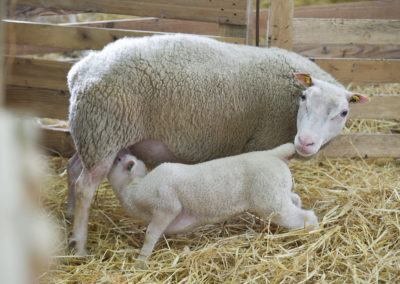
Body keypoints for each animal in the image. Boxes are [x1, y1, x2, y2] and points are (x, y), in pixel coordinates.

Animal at [107, 143, 318, 266]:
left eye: (118, 160)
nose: (120, 151)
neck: (133, 187)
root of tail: (274, 154)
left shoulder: (166, 207)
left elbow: (150, 235)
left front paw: (141, 261)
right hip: (277, 192)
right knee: (295, 199)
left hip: (271, 201)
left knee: (306, 217)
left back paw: (311, 232)